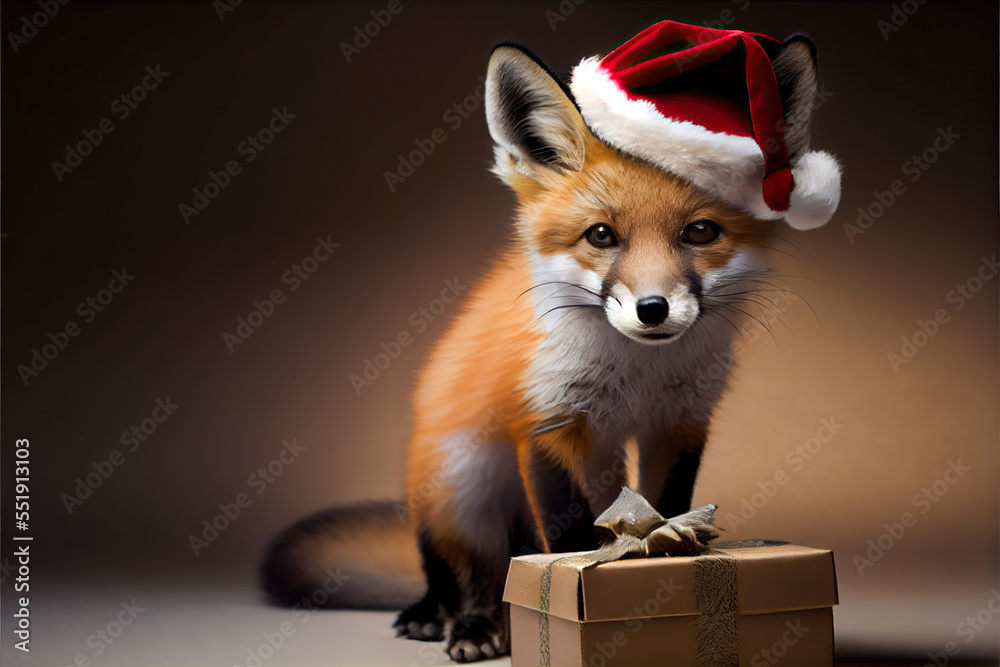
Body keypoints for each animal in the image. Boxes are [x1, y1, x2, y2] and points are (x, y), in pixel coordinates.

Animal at [261, 23, 840, 664]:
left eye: (699, 232)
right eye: (601, 236)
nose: (653, 309)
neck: (638, 375)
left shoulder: (680, 423)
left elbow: (666, 507)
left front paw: (667, 547)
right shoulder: (546, 422)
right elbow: (566, 532)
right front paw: (576, 578)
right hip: (463, 487)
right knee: (462, 572)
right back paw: (457, 620)